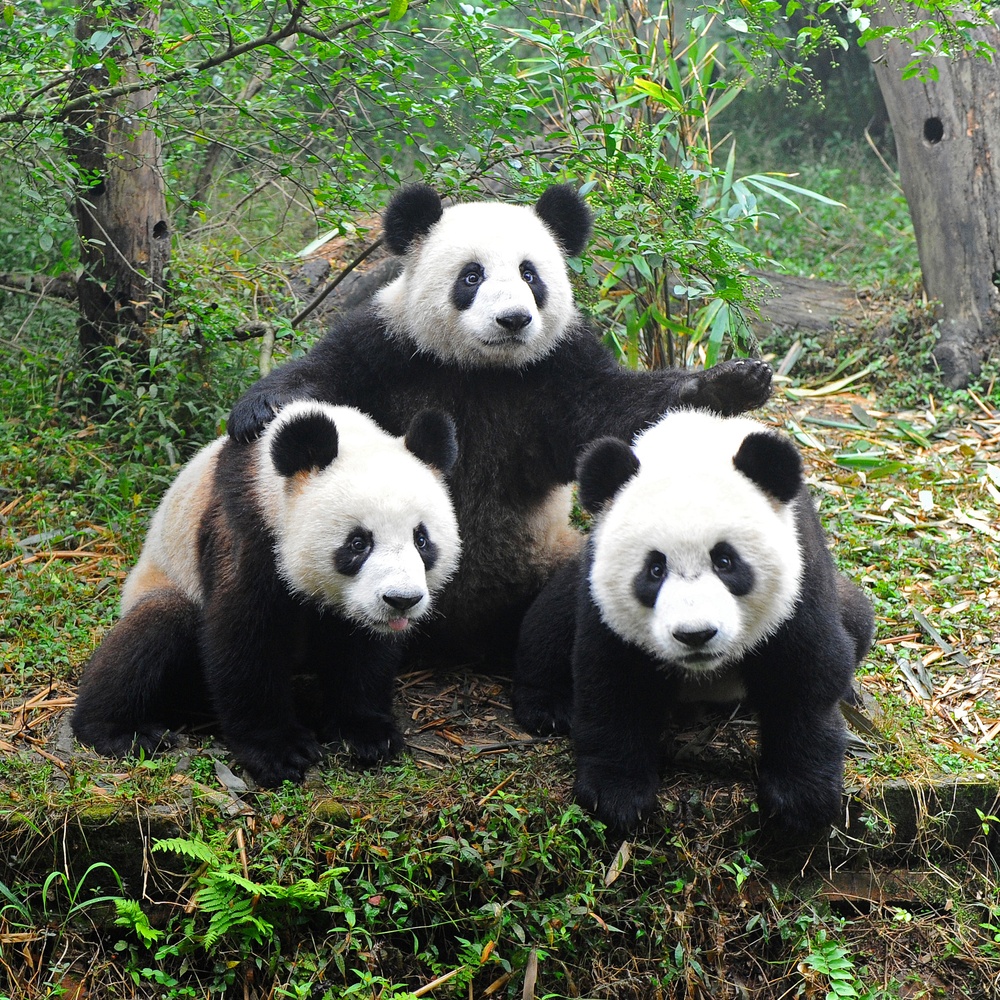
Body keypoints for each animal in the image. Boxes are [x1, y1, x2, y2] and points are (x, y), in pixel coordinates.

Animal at [71, 402, 462, 787]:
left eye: (421, 539)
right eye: (358, 543)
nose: (402, 600)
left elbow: (363, 650)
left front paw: (366, 733)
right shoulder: (246, 527)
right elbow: (245, 637)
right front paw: (280, 752)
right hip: (163, 584)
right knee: (156, 627)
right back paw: (119, 730)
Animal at [227, 184, 773, 663]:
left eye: (530, 275)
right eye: (472, 276)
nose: (513, 319)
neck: (482, 369)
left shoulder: (558, 370)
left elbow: (615, 412)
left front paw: (731, 383)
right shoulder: (388, 349)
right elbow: (325, 377)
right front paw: (258, 411)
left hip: (549, 557)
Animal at [512, 409, 875, 835]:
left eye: (725, 561)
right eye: (655, 569)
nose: (695, 634)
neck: (693, 444)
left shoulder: (801, 576)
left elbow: (805, 674)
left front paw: (801, 801)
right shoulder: (602, 599)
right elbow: (612, 682)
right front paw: (616, 796)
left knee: (858, 620)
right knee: (549, 622)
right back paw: (548, 708)